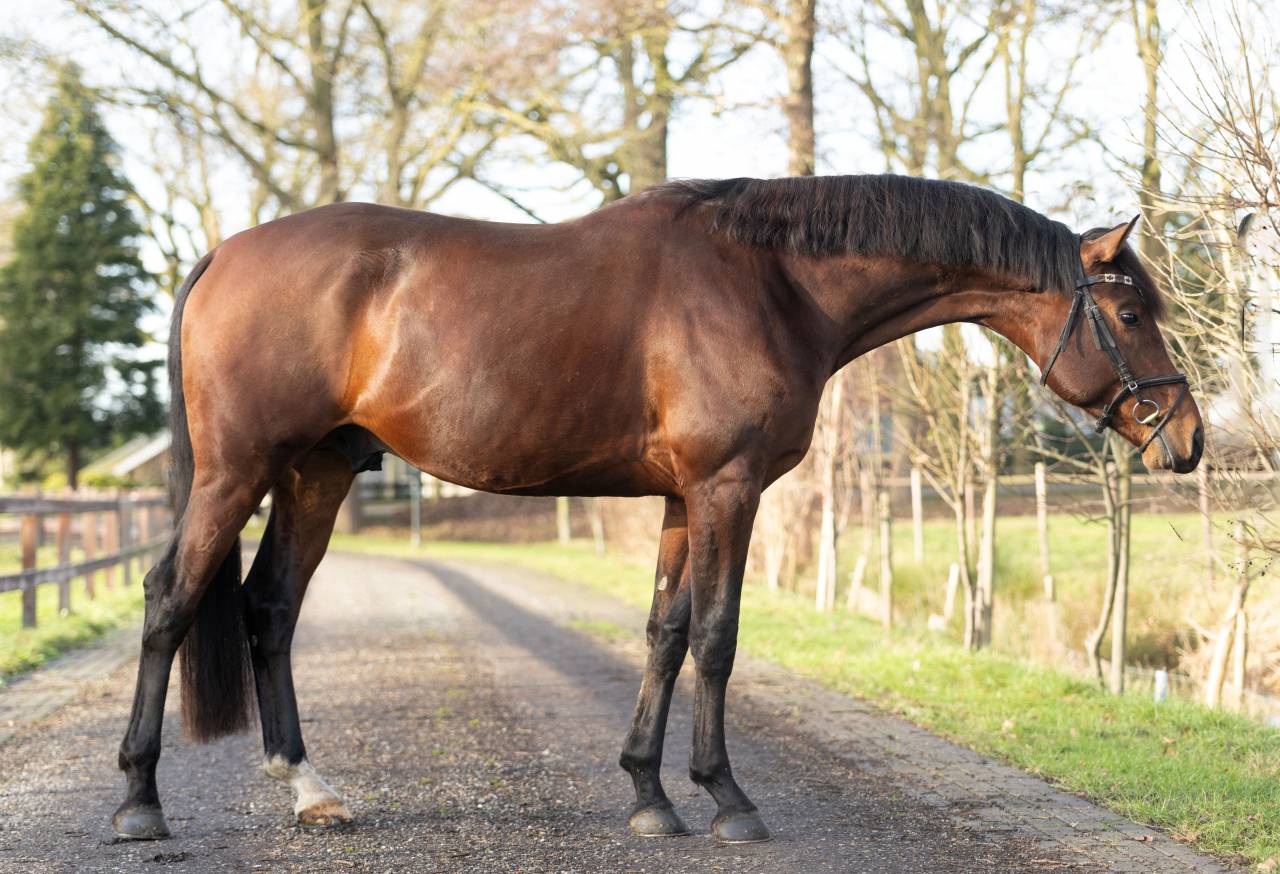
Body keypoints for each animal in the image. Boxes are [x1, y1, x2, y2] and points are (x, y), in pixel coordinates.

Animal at [111, 174, 1203, 843]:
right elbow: (717, 637)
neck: (772, 283)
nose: (1187, 439)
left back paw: (311, 790)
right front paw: (727, 798)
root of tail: (224, 254)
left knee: (269, 608)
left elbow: (665, 633)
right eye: (1131, 310)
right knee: (172, 599)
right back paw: (139, 801)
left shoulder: (685, 497)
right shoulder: (727, 487)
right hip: (237, 470)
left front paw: (648, 793)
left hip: (317, 472)